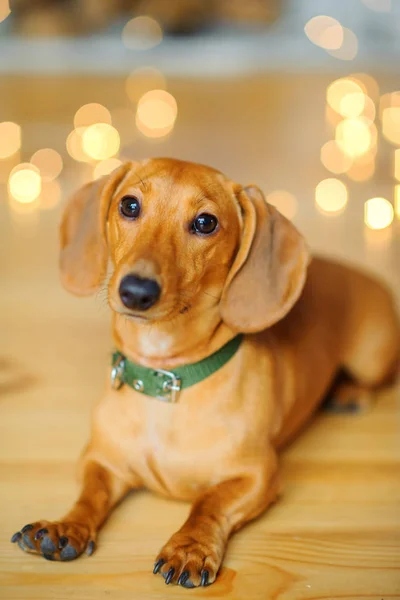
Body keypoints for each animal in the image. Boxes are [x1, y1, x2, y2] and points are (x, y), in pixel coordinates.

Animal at [12, 158, 400, 584]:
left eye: (205, 222)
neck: (167, 380)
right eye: (129, 205)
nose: (137, 291)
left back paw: (349, 393)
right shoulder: (100, 459)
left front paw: (189, 547)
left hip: (372, 356)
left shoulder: (257, 475)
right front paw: (66, 526)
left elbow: (209, 502)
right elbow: (90, 494)